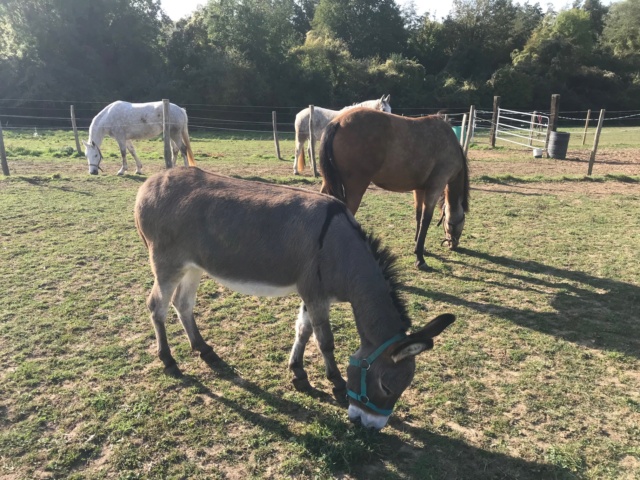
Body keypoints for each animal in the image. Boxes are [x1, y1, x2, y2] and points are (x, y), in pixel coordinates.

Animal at [135, 167, 456, 430]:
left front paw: (298, 373)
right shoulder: (315, 295)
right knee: (157, 307)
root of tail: (150, 183)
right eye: (387, 388)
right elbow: (325, 341)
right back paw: (168, 361)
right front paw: (336, 385)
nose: (372, 426)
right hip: (167, 264)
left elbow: (303, 330)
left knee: (183, 304)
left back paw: (204, 350)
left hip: (193, 267)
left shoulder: (313, 293)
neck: (340, 247)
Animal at [320, 108, 470, 270]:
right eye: (461, 222)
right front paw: (420, 258)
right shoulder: (435, 187)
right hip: (356, 188)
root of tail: (338, 122)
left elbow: (418, 216)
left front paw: (419, 247)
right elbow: (426, 219)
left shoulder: (420, 189)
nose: (453, 244)